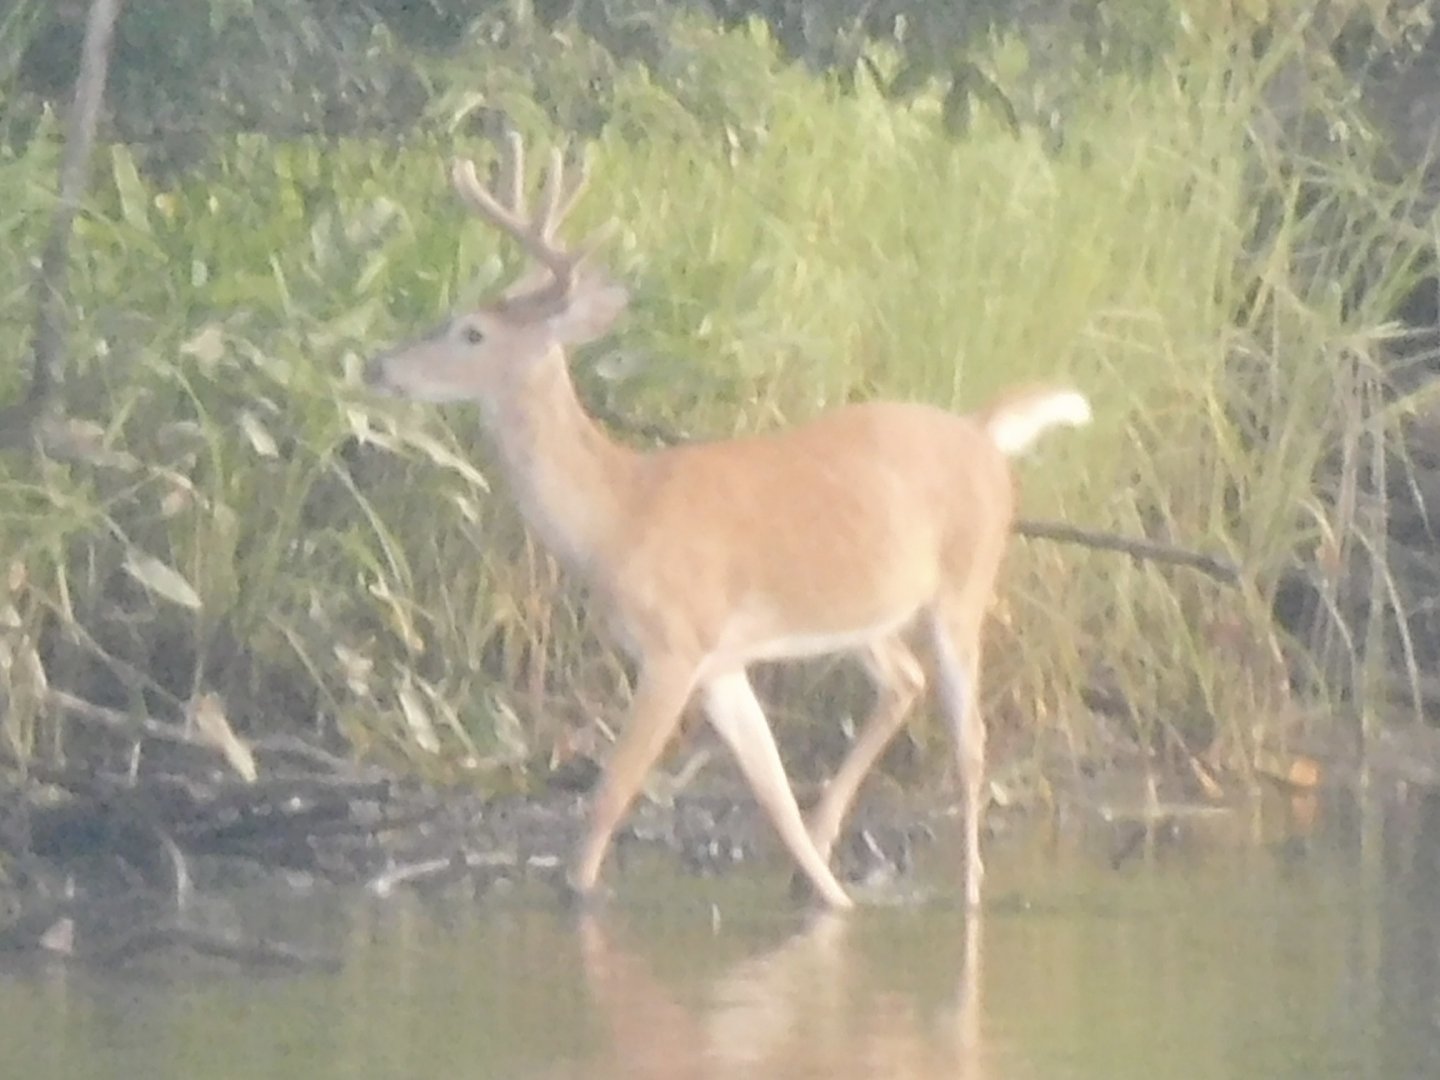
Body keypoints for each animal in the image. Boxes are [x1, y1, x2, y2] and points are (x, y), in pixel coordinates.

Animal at [364, 133, 1091, 910]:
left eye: (471, 331)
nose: (380, 366)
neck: (616, 515)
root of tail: (984, 435)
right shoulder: (721, 665)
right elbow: (771, 793)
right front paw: (831, 898)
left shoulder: (674, 648)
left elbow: (609, 798)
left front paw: (580, 894)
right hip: (860, 613)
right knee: (902, 682)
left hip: (963, 588)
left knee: (969, 737)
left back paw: (970, 888)